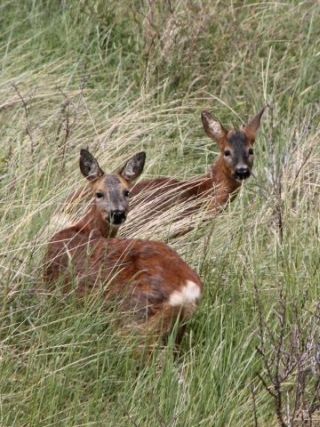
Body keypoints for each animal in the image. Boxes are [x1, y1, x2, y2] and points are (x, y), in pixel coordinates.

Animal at [43, 150, 201, 344]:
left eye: (127, 192)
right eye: (99, 193)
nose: (117, 213)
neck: (82, 229)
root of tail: (187, 289)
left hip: (134, 318)